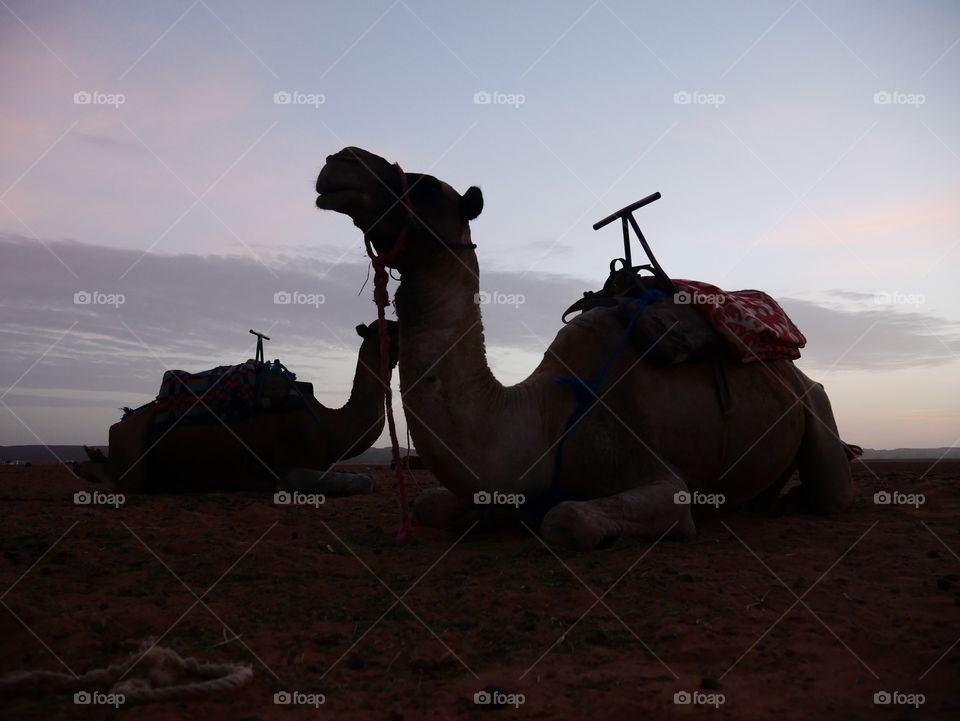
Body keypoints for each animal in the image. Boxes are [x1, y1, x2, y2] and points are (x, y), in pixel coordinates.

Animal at [77, 320, 402, 496]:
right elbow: (366, 480)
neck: (331, 424)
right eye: (386, 328)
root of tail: (122, 421)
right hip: (132, 454)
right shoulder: (288, 470)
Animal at [316, 148, 864, 552]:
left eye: (428, 186)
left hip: (816, 404)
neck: (545, 420)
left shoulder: (660, 477)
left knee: (834, 493)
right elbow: (431, 505)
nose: (340, 160)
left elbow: (568, 519)